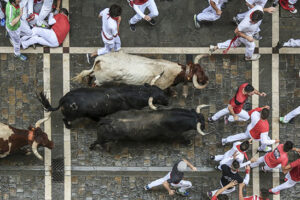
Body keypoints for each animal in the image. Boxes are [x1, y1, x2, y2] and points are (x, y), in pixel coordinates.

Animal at [72, 51, 209, 90]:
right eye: (200, 73)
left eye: (202, 70)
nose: (207, 79)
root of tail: (100, 59)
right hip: (101, 80)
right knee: (95, 82)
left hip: (95, 73)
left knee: (89, 75)